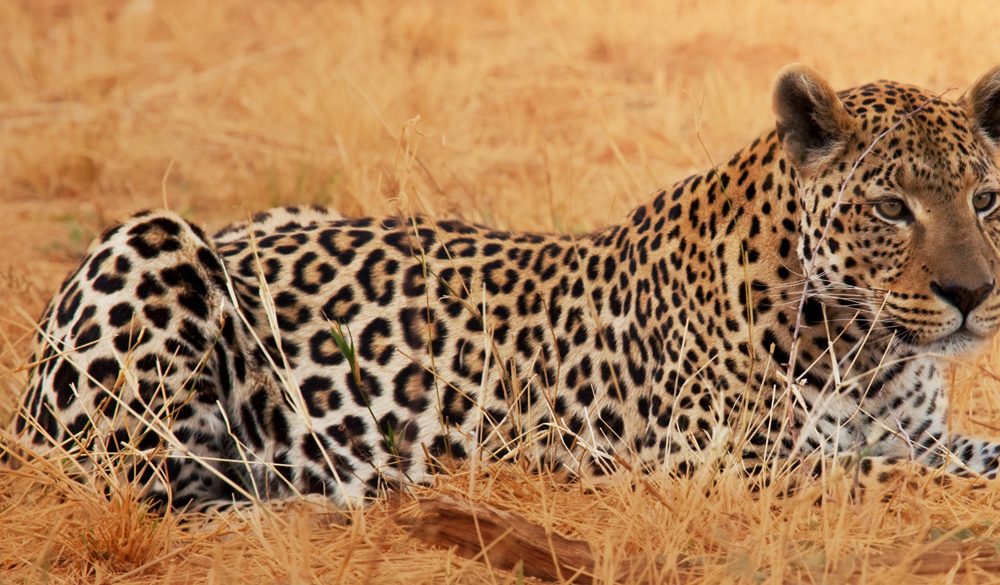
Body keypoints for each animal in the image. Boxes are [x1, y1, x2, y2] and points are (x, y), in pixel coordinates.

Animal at [12, 63, 1000, 510]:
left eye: (984, 197)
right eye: (890, 206)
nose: (973, 292)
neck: (872, 351)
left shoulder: (909, 430)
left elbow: (963, 454)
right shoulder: (729, 466)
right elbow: (900, 474)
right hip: (153, 244)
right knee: (132, 483)